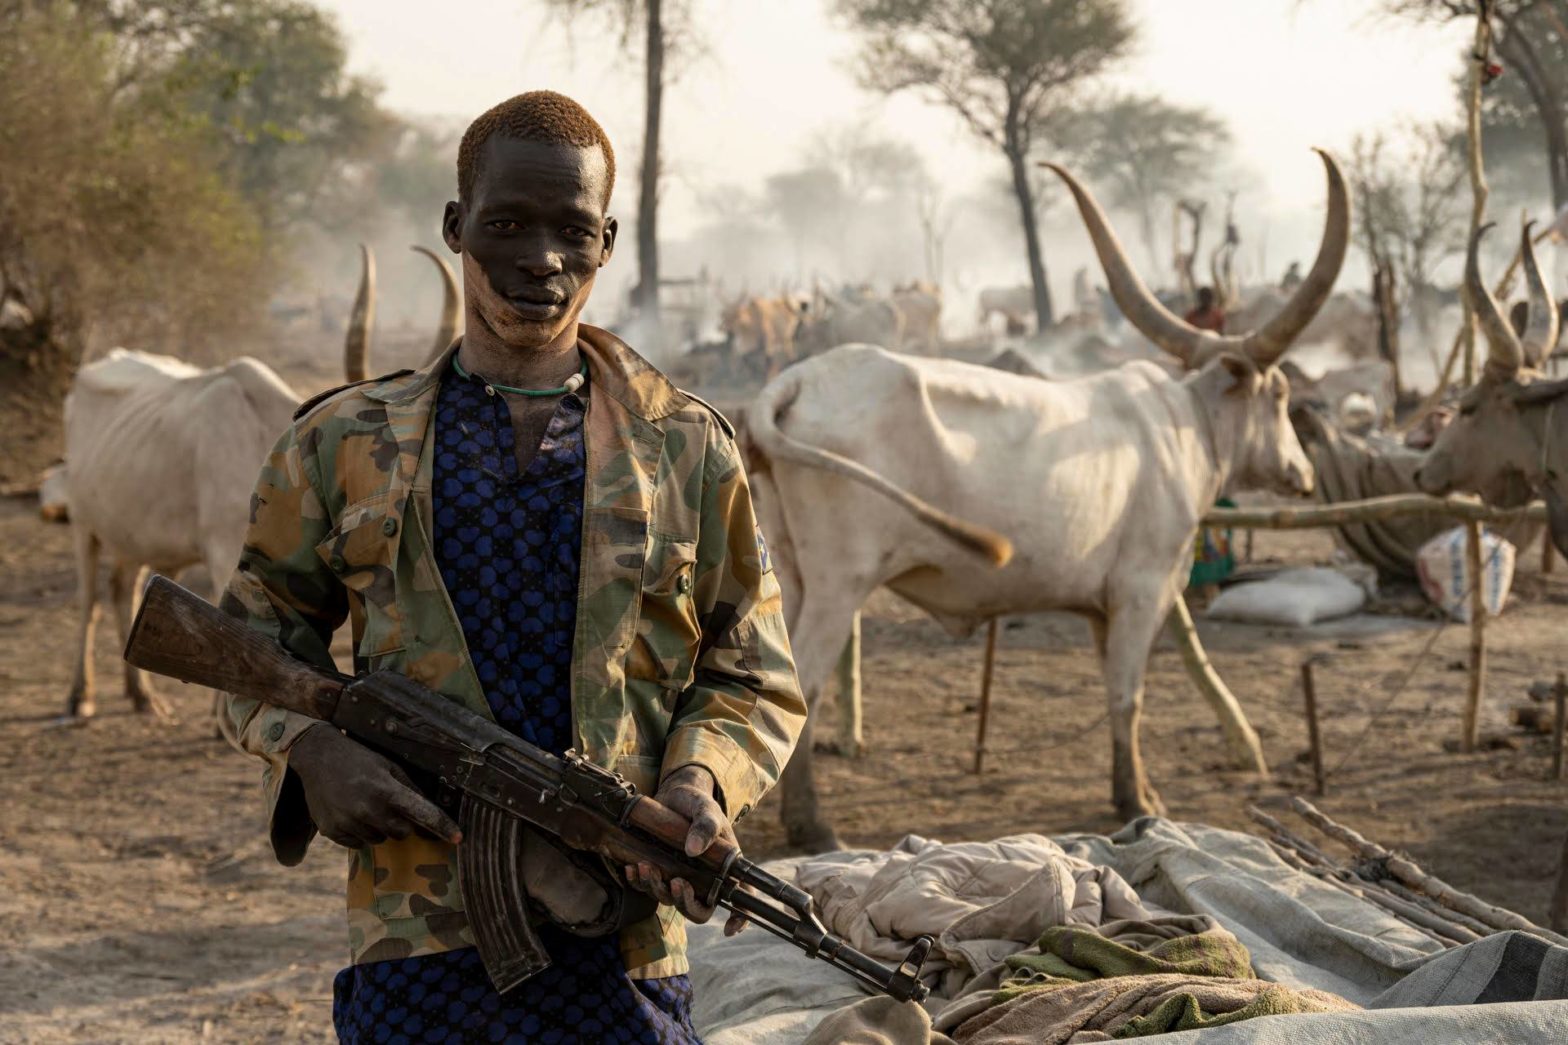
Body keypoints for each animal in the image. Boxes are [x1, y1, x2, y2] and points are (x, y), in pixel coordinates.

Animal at [64, 246, 457, 715]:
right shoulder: (224, 552)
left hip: (132, 532)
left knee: (123, 588)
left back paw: (142, 696)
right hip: (83, 525)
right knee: (89, 600)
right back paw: (79, 697)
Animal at [746, 148, 1348, 847]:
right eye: (1279, 394)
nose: (1301, 474)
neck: (1187, 424)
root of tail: (795, 381)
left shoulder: (1101, 608)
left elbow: (1117, 692)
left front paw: (1132, 788)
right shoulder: (1142, 589)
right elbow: (1128, 695)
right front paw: (1138, 800)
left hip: (789, 571)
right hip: (839, 584)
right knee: (808, 683)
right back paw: (811, 826)